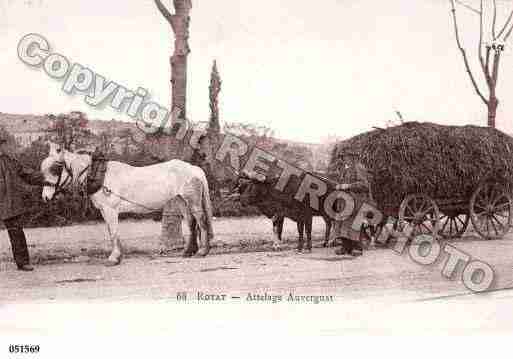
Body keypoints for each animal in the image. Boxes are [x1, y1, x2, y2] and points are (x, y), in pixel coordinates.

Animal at [40, 142, 214, 266]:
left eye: (56, 168)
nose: (46, 197)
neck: (100, 175)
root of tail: (194, 169)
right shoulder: (104, 211)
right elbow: (112, 232)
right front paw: (118, 256)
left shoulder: (110, 210)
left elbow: (113, 232)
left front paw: (114, 258)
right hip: (181, 201)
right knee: (191, 223)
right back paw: (188, 252)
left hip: (192, 201)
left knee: (201, 221)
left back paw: (202, 252)